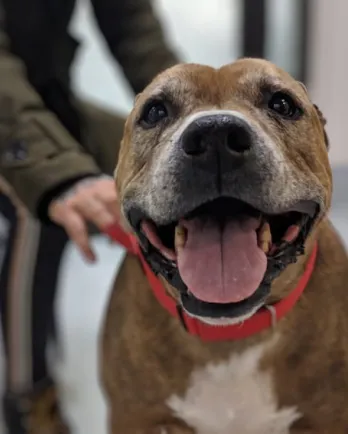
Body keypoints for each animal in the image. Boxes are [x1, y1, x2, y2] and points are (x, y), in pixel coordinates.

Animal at [100, 58, 348, 434]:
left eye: (282, 104)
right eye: (155, 111)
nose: (215, 134)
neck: (228, 340)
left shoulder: (330, 416)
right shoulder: (132, 415)